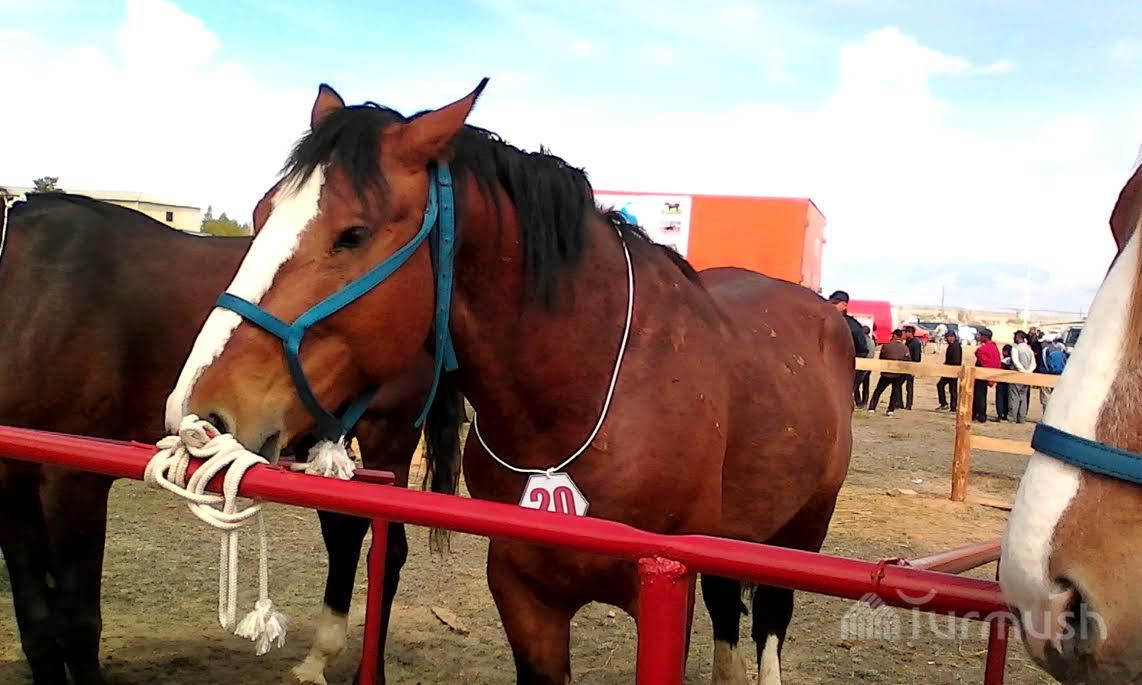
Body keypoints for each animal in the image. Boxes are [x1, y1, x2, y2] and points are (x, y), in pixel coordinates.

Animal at [0, 191, 463, 685]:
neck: (33, 291)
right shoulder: (11, 482)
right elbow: (37, 624)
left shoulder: (73, 480)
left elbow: (78, 623)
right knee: (345, 534)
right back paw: (317, 660)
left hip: (385, 435)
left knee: (388, 550)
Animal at [170, 82, 855, 685]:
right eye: (260, 213)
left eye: (354, 233)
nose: (203, 412)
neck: (586, 396)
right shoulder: (523, 588)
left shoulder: (663, 591)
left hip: (802, 532)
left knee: (768, 622)